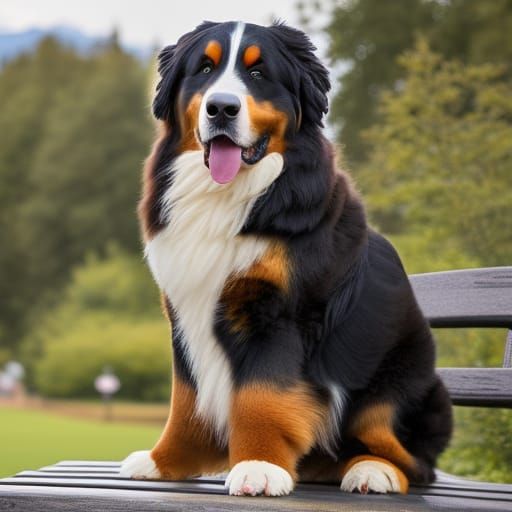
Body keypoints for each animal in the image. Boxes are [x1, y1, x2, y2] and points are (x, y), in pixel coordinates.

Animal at [121, 22, 452, 498]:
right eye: (204, 68)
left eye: (259, 73)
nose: (221, 108)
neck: (228, 197)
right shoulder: (184, 314)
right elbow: (186, 400)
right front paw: (164, 461)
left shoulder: (282, 314)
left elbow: (261, 394)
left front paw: (258, 465)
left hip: (395, 386)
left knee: (415, 460)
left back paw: (373, 471)